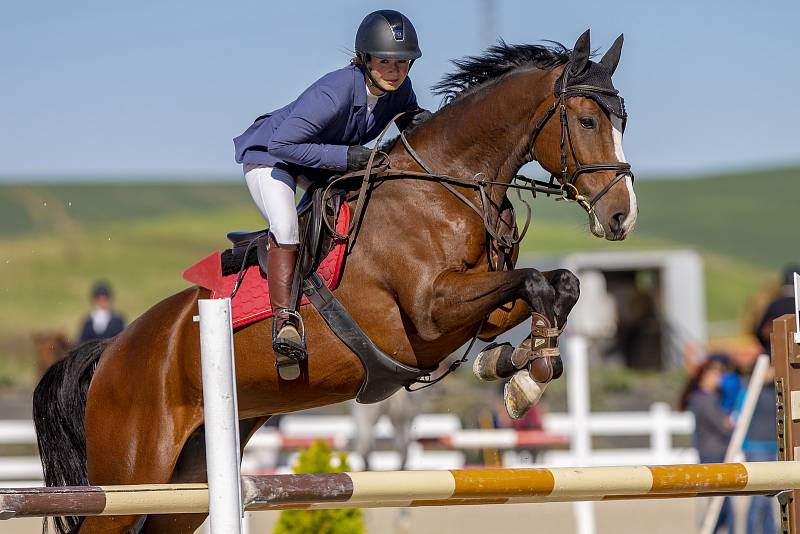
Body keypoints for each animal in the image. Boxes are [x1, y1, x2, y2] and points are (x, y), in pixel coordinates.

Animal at [34, 30, 640, 534]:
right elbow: (534, 281)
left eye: (623, 122)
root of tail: (114, 349)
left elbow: (558, 285)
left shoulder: (478, 306)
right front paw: (526, 373)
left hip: (186, 481)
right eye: (587, 122)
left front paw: (515, 367)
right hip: (131, 476)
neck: (447, 187)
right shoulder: (430, 310)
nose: (622, 218)